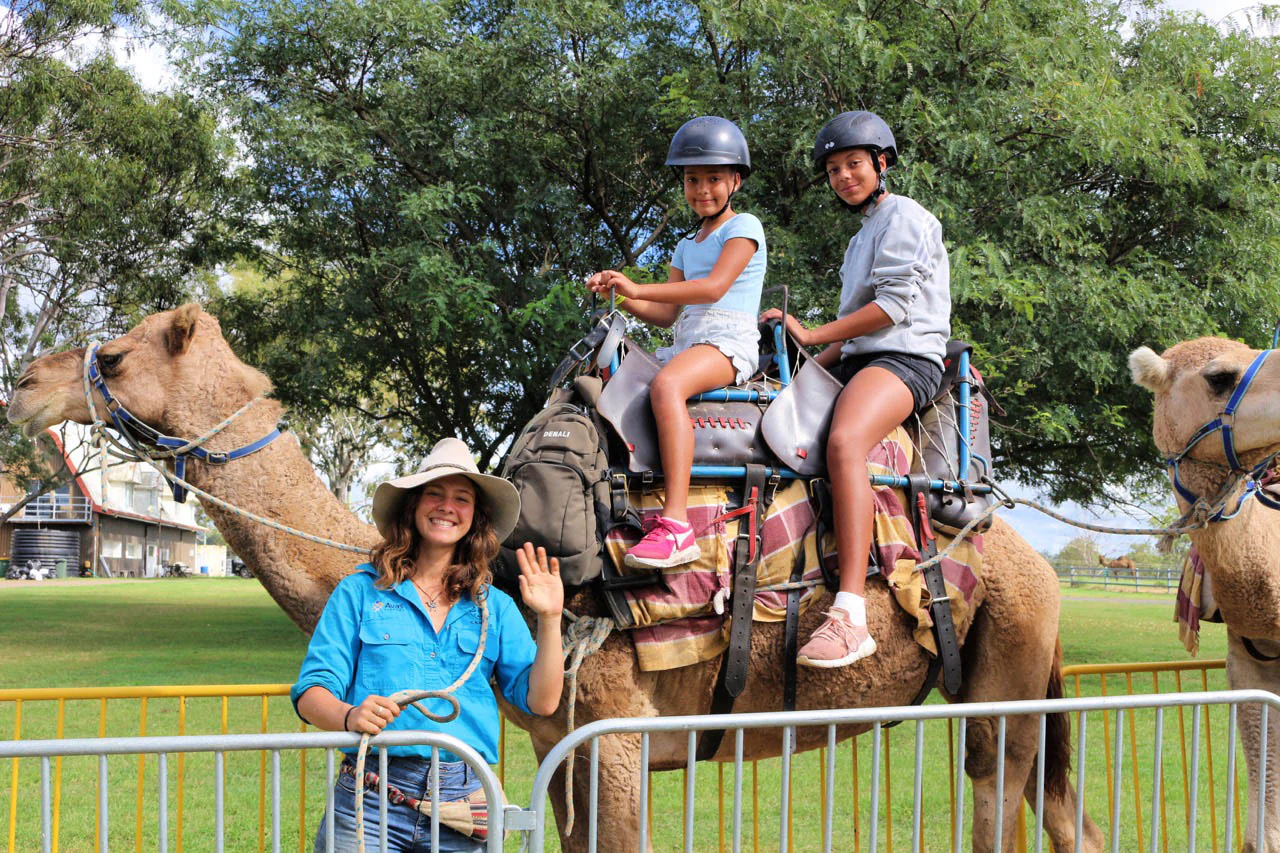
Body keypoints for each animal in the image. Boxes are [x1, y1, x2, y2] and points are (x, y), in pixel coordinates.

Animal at [8, 305, 1102, 852]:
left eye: (114, 353)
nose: (23, 379)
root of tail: (1024, 555)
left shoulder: (617, 726)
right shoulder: (555, 739)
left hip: (1005, 664)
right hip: (1003, 676)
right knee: (1061, 817)